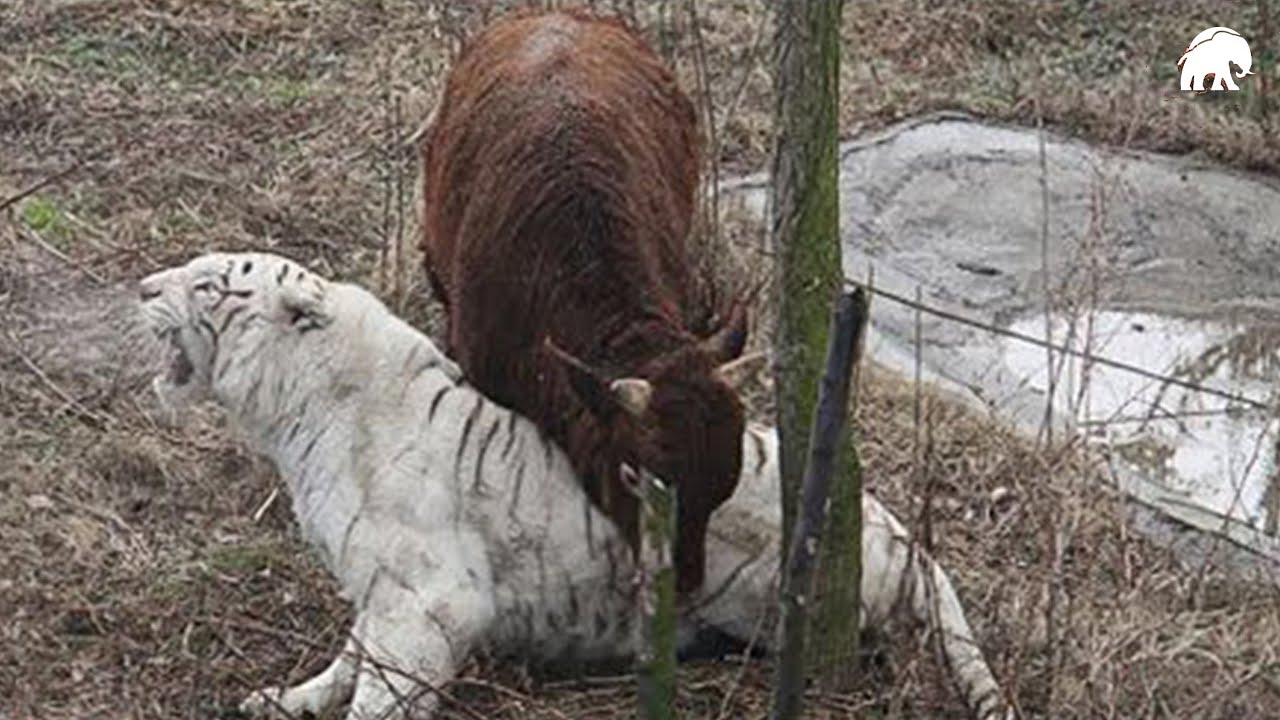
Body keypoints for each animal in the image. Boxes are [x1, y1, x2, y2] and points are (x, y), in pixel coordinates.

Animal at [132, 249, 1008, 712]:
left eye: (208, 284)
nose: (141, 287)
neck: (300, 411)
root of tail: (899, 534)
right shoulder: (382, 589)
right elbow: (352, 656)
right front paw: (289, 699)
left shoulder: (430, 598)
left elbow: (382, 683)